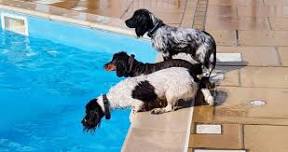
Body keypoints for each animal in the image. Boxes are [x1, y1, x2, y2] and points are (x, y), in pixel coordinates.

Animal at [80, 67, 212, 131]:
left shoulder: (137, 102)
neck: (112, 97)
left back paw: (159, 110)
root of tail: (193, 75)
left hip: (170, 92)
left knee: (169, 108)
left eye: (88, 113)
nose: (82, 122)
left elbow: (133, 112)